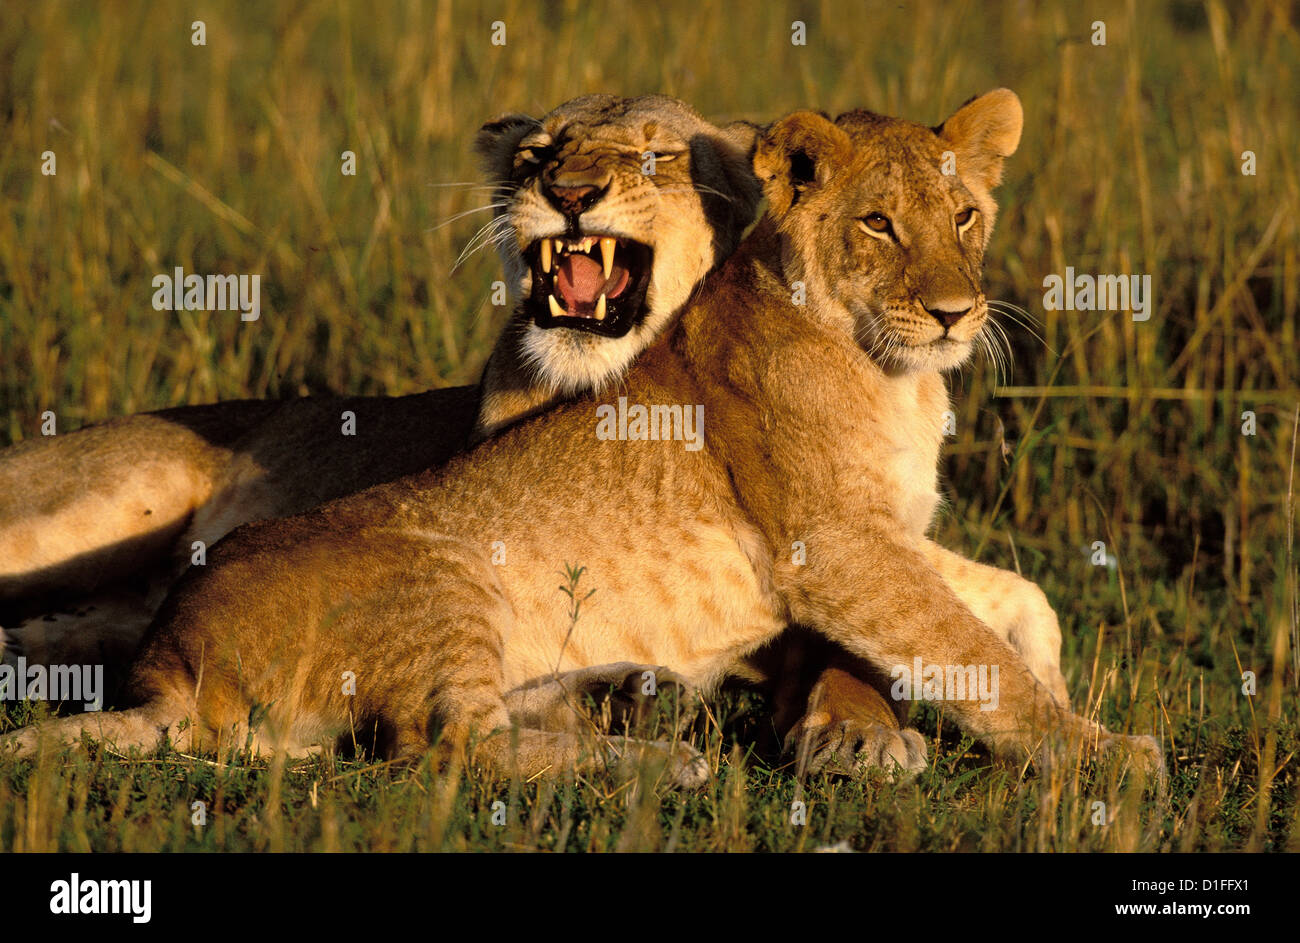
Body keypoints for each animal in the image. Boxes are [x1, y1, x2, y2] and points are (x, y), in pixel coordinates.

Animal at [1, 91, 1163, 787]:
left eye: (963, 217)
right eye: (878, 223)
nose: (958, 313)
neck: (891, 372)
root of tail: (165, 663)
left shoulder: (882, 534)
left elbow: (1014, 598)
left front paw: (1067, 687)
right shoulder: (834, 547)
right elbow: (966, 647)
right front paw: (1103, 753)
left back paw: (629, 711)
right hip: (448, 581)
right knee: (445, 751)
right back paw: (661, 765)